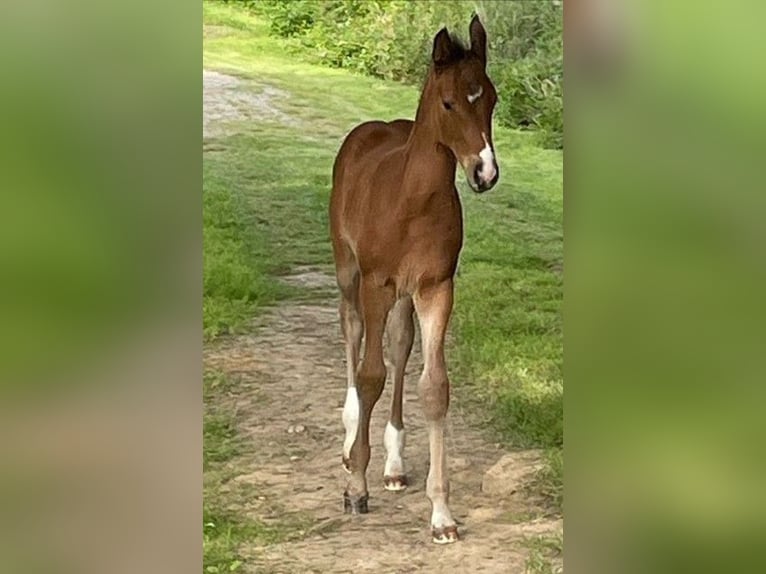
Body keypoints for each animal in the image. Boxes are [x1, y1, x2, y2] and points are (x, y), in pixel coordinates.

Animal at [328, 14, 498, 544]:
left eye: (491, 99)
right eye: (449, 102)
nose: (485, 172)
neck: (413, 201)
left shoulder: (435, 287)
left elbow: (433, 386)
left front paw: (441, 513)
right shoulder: (376, 284)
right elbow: (369, 376)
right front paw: (356, 488)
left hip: (403, 295)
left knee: (400, 347)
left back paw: (396, 464)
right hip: (348, 270)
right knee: (352, 333)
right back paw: (349, 443)